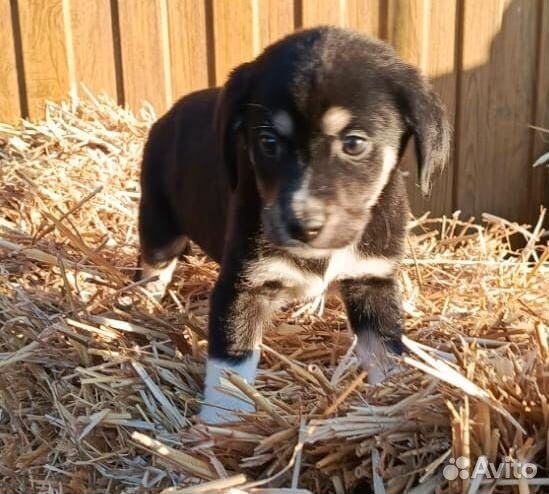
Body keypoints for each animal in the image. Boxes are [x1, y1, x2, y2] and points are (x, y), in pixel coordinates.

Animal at [137, 26, 450, 420]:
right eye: (268, 142)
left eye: (354, 144)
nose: (303, 227)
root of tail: (167, 115)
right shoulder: (242, 285)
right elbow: (231, 366)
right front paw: (222, 423)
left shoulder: (372, 280)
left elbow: (384, 350)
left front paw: (394, 396)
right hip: (158, 225)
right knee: (152, 269)